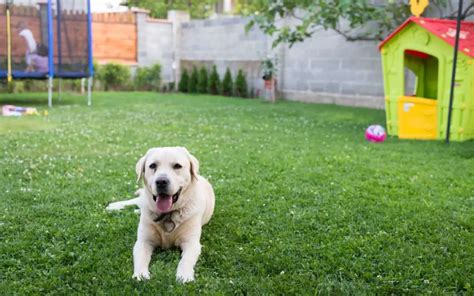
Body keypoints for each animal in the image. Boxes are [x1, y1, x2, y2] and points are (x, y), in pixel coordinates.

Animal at [106, 147, 216, 284]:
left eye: (177, 166)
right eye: (153, 166)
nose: (161, 182)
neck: (167, 214)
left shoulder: (192, 243)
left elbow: (186, 260)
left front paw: (184, 275)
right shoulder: (143, 241)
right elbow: (140, 258)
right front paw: (141, 274)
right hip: (143, 201)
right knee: (135, 201)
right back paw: (114, 206)